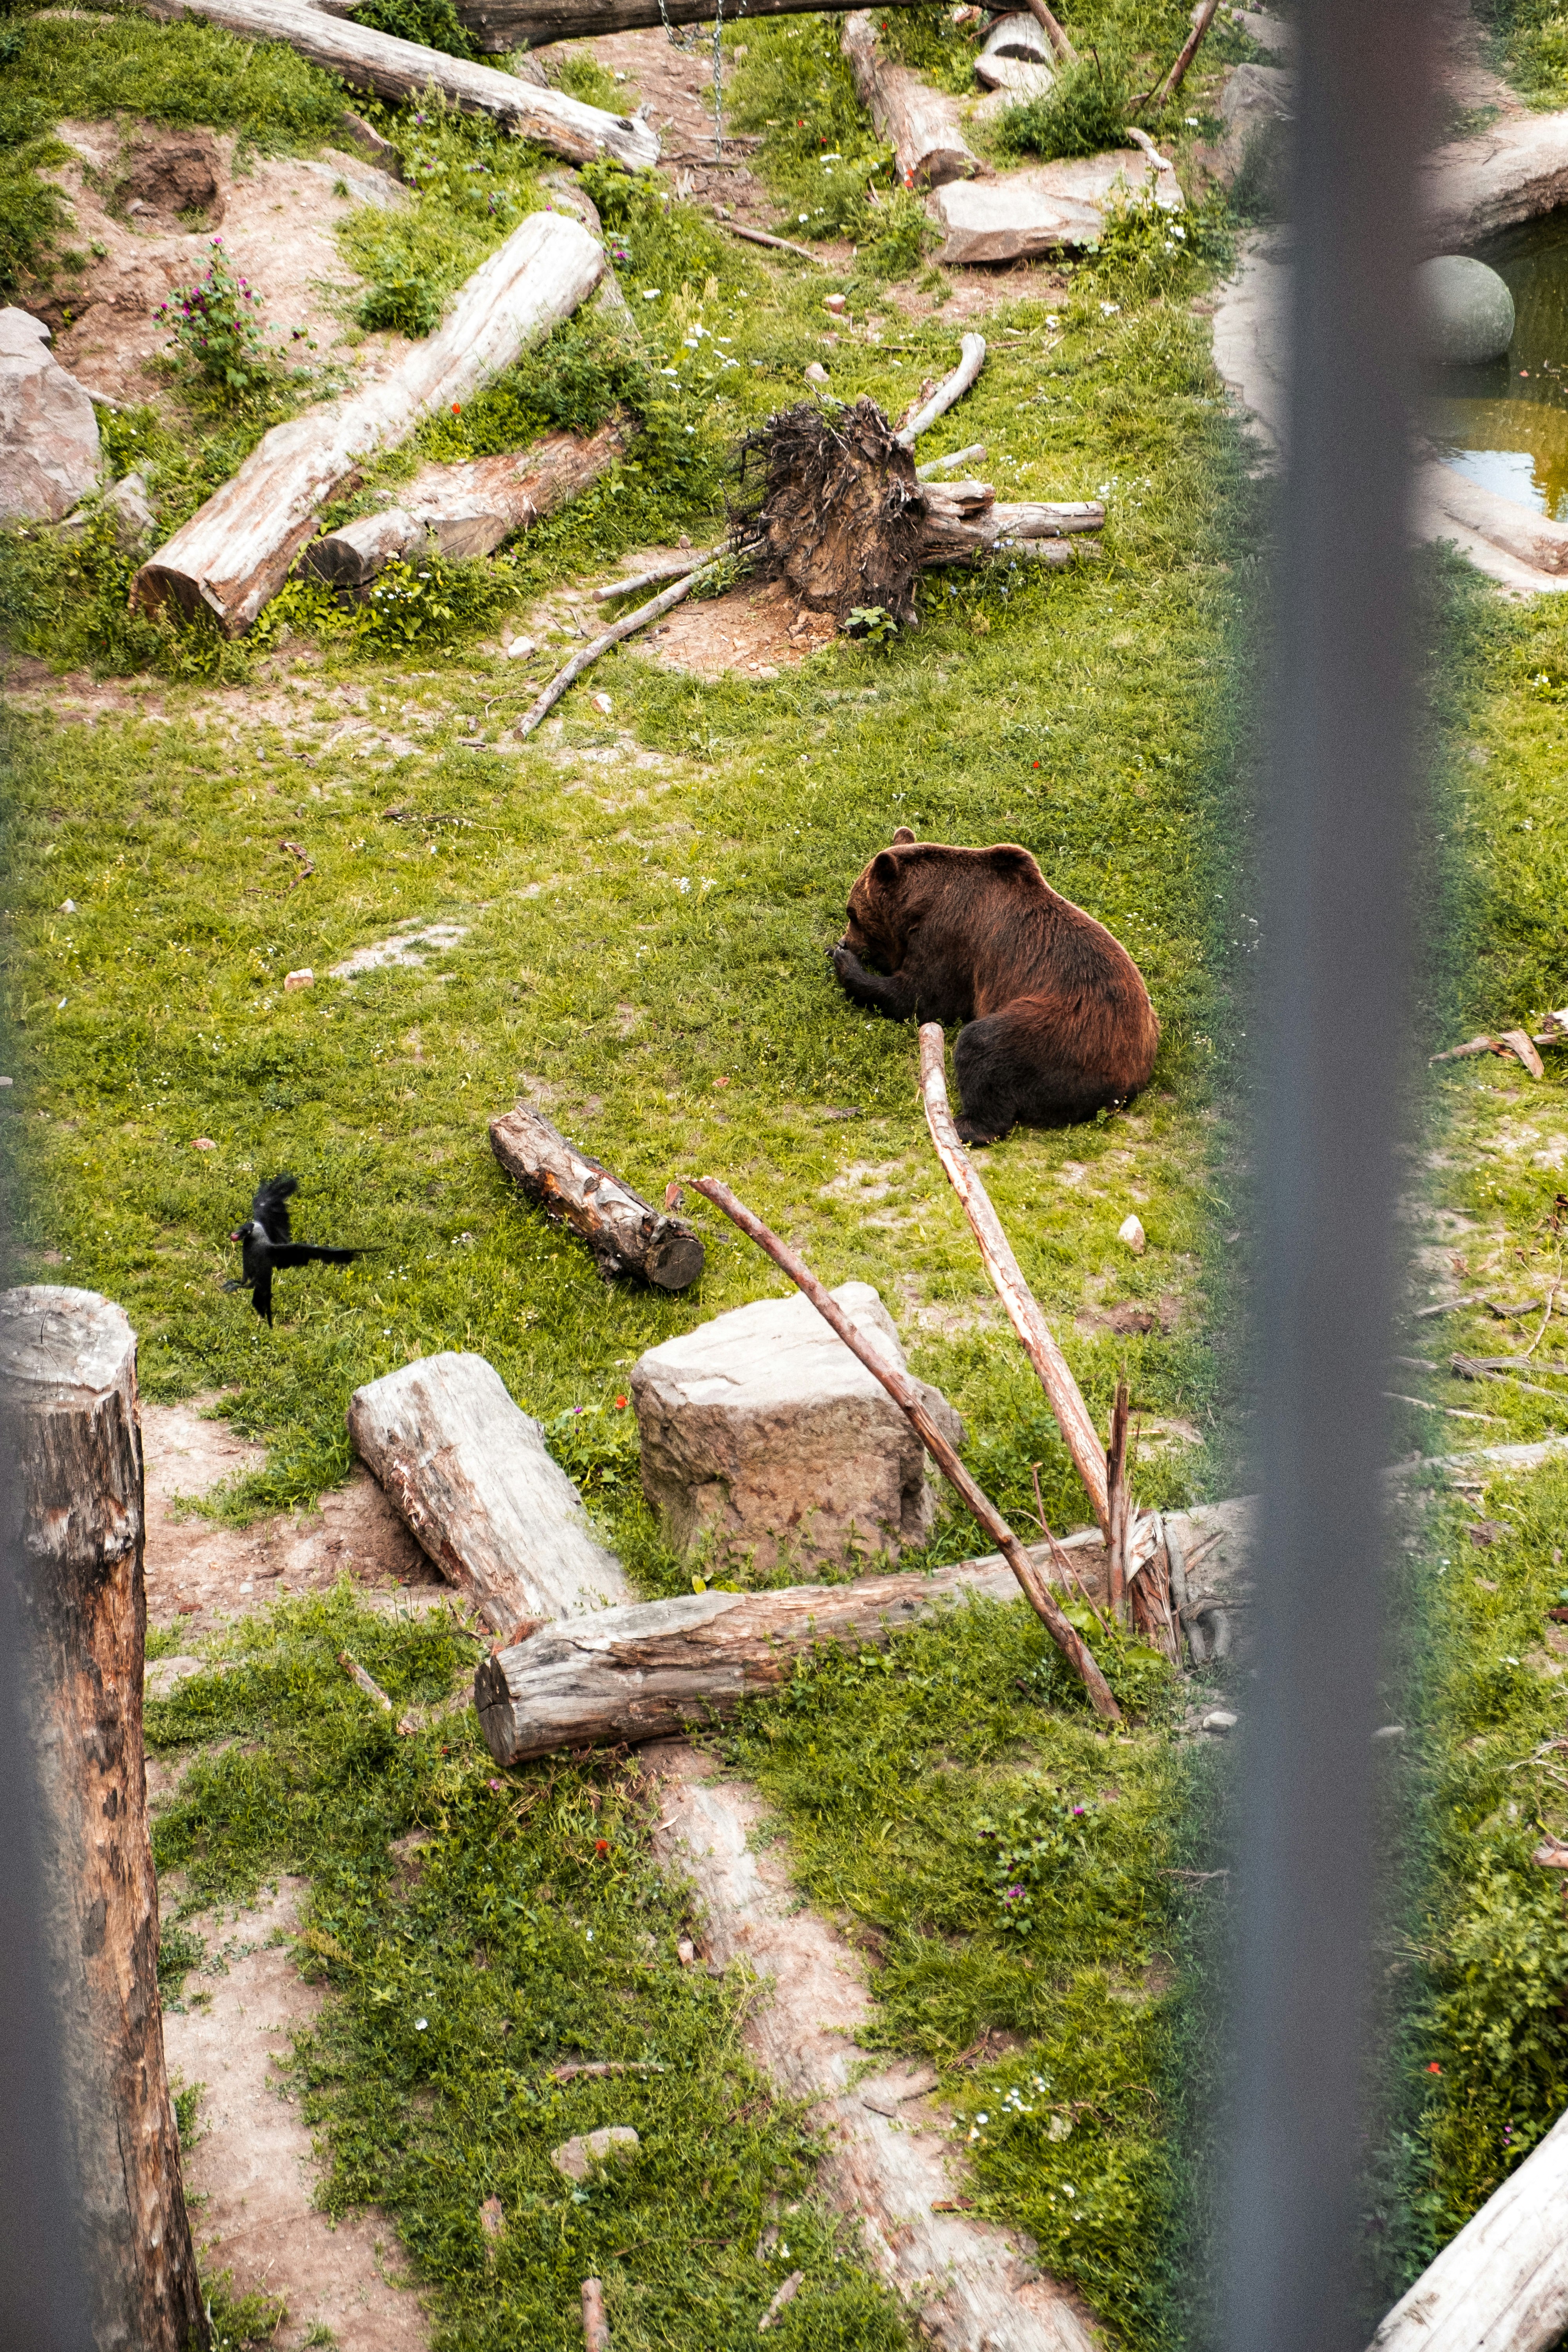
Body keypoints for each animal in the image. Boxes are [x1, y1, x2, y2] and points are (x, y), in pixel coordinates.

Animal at [832, 833, 1152, 1143]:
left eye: (852, 912)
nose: (846, 941)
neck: (924, 902)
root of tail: (1134, 1074)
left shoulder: (950, 936)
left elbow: (923, 997)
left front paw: (845, 963)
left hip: (1066, 1032)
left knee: (985, 1043)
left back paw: (966, 1125)